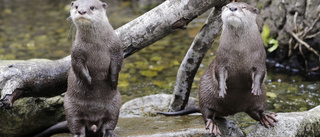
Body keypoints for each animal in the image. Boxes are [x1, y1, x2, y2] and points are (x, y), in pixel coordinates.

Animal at [34, 0, 122, 137]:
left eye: (92, 7)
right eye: (76, 6)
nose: (81, 11)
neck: (97, 46)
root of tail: (93, 123)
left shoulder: (116, 48)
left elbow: (117, 64)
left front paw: (113, 81)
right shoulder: (76, 52)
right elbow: (78, 66)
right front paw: (89, 83)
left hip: (115, 104)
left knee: (109, 123)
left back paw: (109, 133)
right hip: (70, 106)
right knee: (76, 124)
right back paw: (79, 134)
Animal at [158, 1, 278, 135]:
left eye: (244, 7)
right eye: (227, 6)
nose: (232, 8)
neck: (240, 52)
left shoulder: (260, 57)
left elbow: (261, 72)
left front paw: (256, 88)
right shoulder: (221, 58)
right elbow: (219, 72)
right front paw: (222, 89)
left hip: (259, 99)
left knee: (258, 111)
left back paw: (266, 117)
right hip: (204, 95)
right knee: (207, 113)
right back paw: (212, 125)